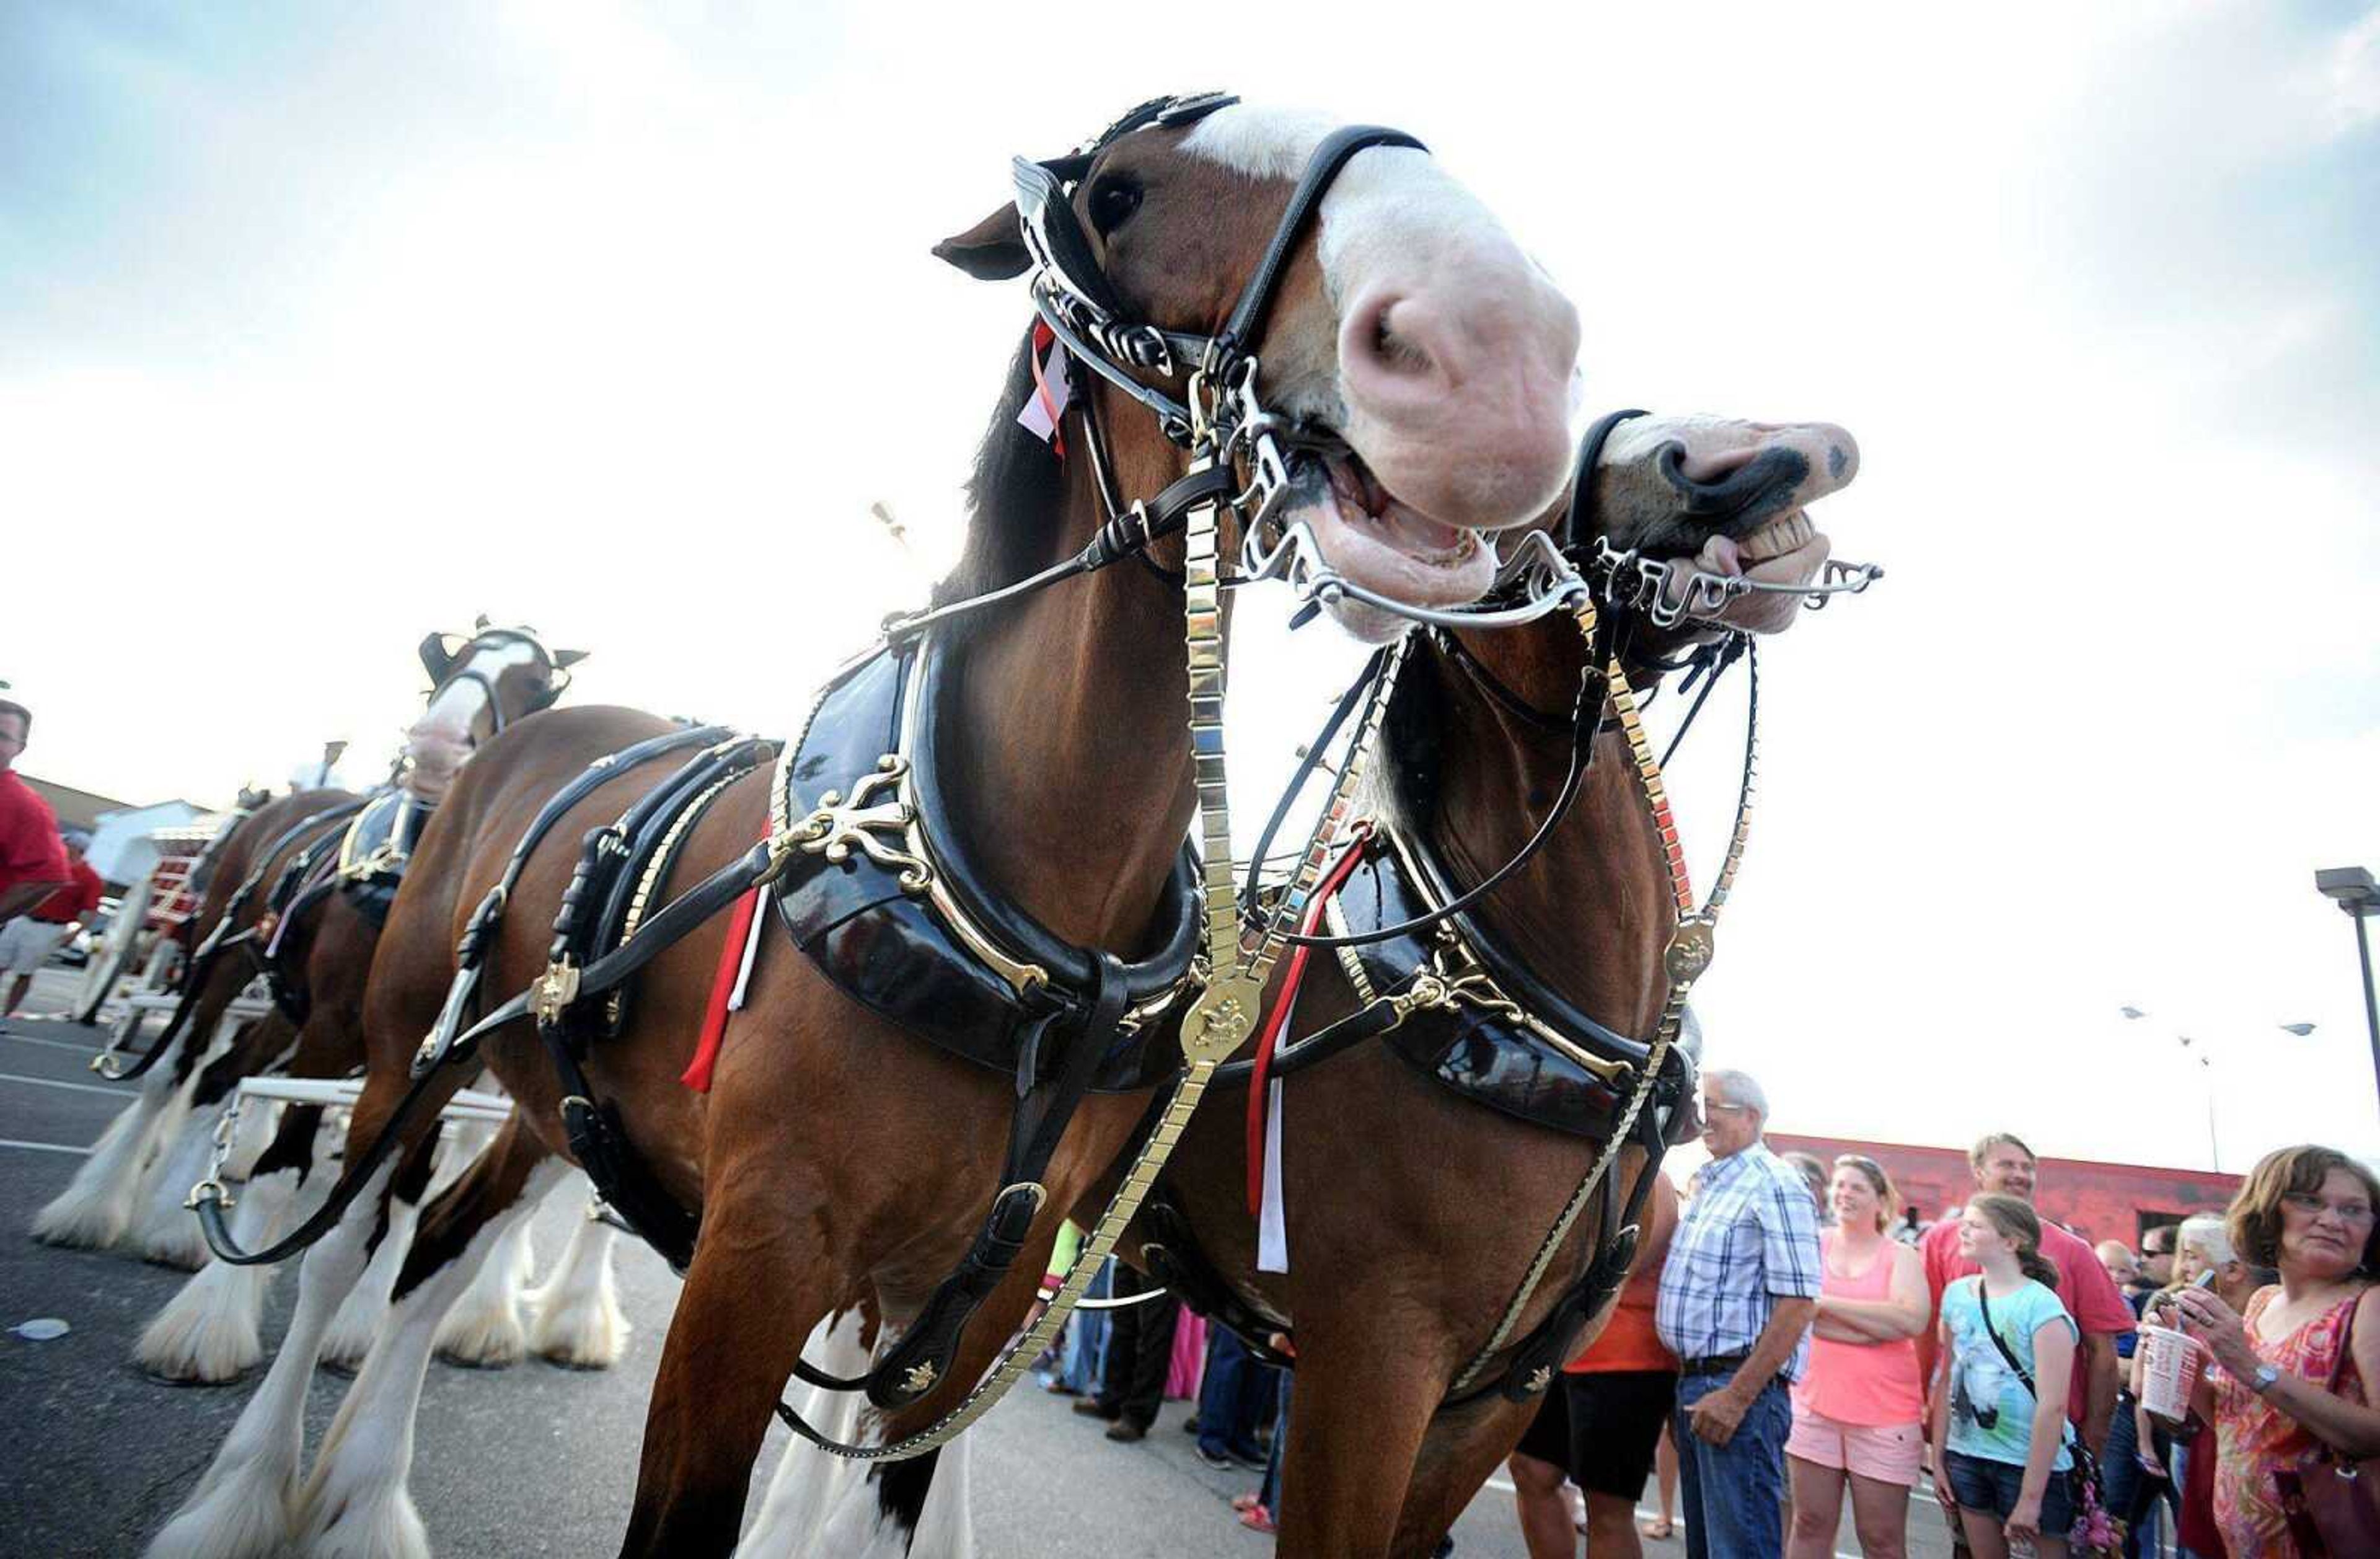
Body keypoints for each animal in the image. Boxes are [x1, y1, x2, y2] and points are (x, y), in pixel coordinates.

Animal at [144, 97, 1599, 1559]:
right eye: (1119, 194)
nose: (1501, 344)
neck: (1026, 913)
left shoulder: (980, 1292)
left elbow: (893, 1486)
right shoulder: (760, 1251)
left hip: (563, 1094)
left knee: (443, 1237)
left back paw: (371, 1493)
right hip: (408, 1048)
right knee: (334, 1226)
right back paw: (244, 1480)